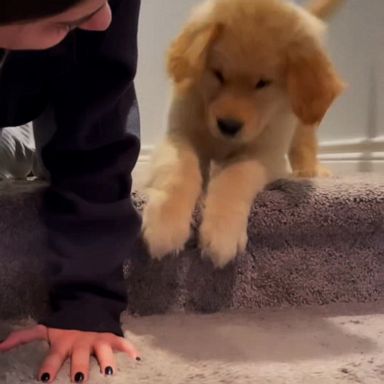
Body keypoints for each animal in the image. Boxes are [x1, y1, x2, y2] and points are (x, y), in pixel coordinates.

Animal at [142, 0, 344, 268]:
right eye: (218, 74)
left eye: (263, 83)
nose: (228, 125)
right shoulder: (179, 134)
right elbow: (179, 170)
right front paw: (165, 225)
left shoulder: (265, 153)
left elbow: (236, 176)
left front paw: (221, 233)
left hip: (304, 116)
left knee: (304, 141)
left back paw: (309, 170)